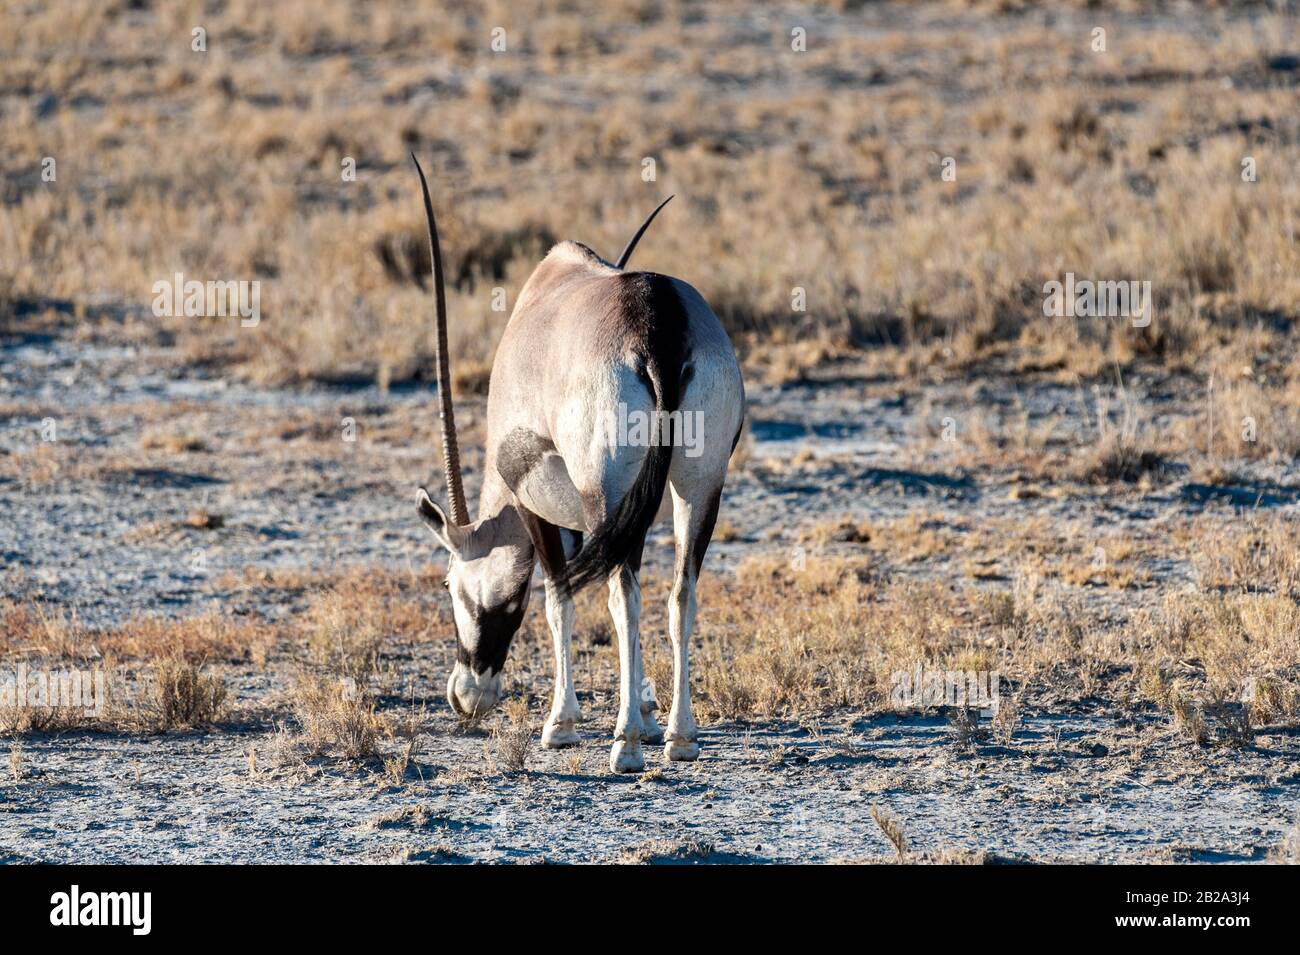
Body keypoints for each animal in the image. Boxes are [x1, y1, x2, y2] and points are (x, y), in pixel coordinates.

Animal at [410, 156, 744, 773]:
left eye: (448, 582)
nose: (466, 697)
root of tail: (656, 322)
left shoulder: (534, 504)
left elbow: (557, 598)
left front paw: (561, 723)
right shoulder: (633, 514)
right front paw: (648, 714)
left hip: (603, 490)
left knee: (623, 599)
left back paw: (626, 746)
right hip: (699, 486)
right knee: (680, 592)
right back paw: (680, 736)